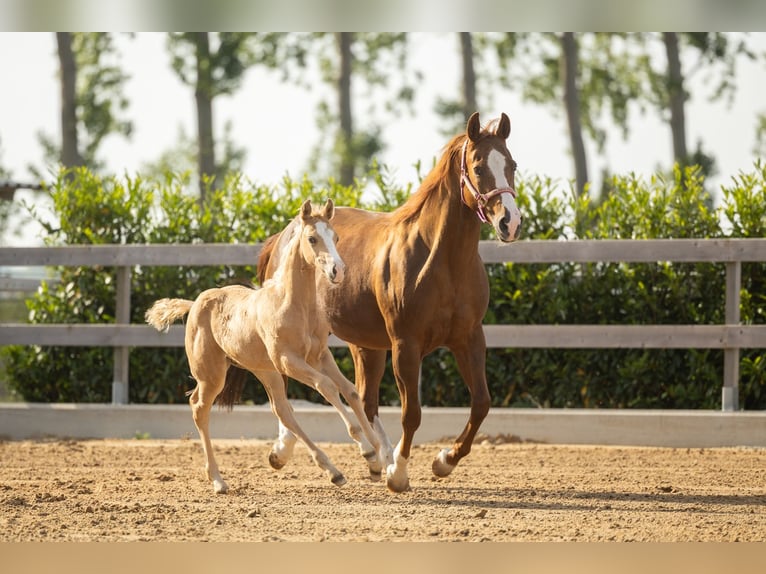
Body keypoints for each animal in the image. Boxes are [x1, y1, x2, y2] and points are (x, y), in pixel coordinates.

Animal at [145, 199, 384, 494]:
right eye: (312, 238)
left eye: (336, 237)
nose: (337, 271)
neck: (293, 305)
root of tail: (196, 302)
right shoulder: (289, 361)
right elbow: (327, 387)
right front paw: (368, 451)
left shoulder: (319, 356)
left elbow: (349, 391)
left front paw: (377, 459)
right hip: (213, 374)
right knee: (199, 408)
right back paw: (218, 480)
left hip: (264, 370)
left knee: (282, 410)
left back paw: (333, 471)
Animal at [257, 112, 522, 492]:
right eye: (478, 166)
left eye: (512, 164)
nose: (510, 222)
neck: (441, 261)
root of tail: (285, 234)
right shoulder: (405, 344)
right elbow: (411, 412)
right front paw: (399, 473)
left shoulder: (469, 337)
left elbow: (481, 404)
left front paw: (443, 461)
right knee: (286, 384)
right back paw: (286, 450)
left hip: (364, 345)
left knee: (364, 400)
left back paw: (375, 457)